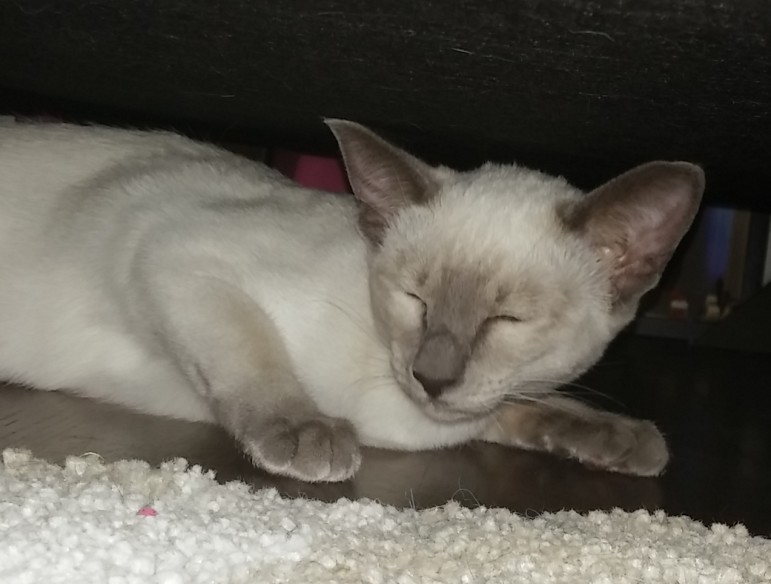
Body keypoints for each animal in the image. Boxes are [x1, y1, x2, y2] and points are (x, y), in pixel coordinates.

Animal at [0, 117, 704, 480]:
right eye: (415, 298)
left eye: (508, 320)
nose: (430, 378)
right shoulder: (173, 251)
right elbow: (254, 358)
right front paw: (306, 434)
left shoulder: (482, 399)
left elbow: (531, 406)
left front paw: (621, 441)